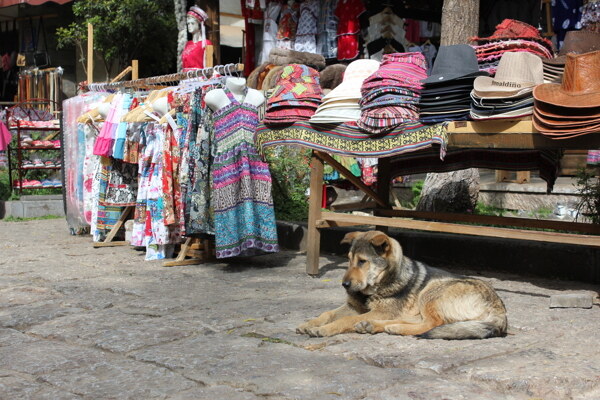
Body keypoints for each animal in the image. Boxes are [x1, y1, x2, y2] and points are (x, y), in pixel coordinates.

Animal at [296, 230, 506, 340]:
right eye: (348, 260)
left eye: (362, 261)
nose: (345, 285)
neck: (378, 284)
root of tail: (500, 310)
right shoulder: (354, 306)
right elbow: (327, 313)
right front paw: (309, 323)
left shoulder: (382, 311)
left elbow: (345, 320)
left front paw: (324, 329)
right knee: (417, 321)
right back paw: (376, 325)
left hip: (431, 292)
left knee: (431, 324)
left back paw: (390, 327)